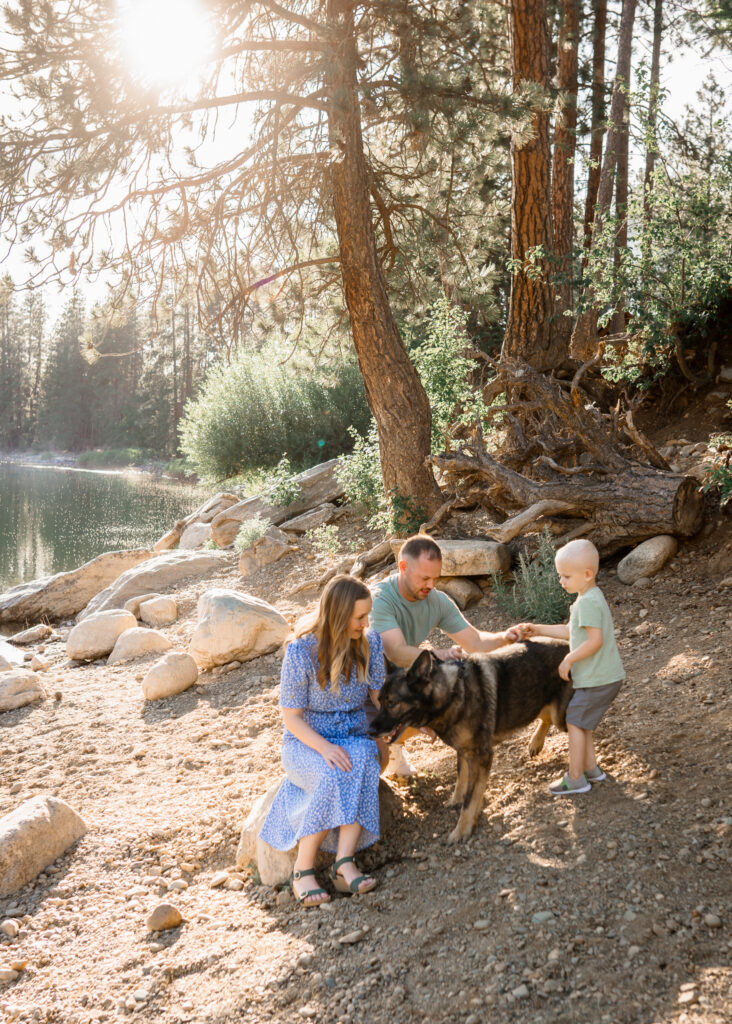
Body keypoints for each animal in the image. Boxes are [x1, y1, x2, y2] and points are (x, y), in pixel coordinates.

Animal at [372, 643, 573, 843]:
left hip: (559, 716)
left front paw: (462, 830)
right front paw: (458, 802)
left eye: (392, 703)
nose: (368, 730)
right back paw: (536, 742)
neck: (453, 694)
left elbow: (470, 799)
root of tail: (567, 645)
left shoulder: (482, 756)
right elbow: (462, 779)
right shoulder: (464, 752)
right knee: (545, 717)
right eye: (379, 700)